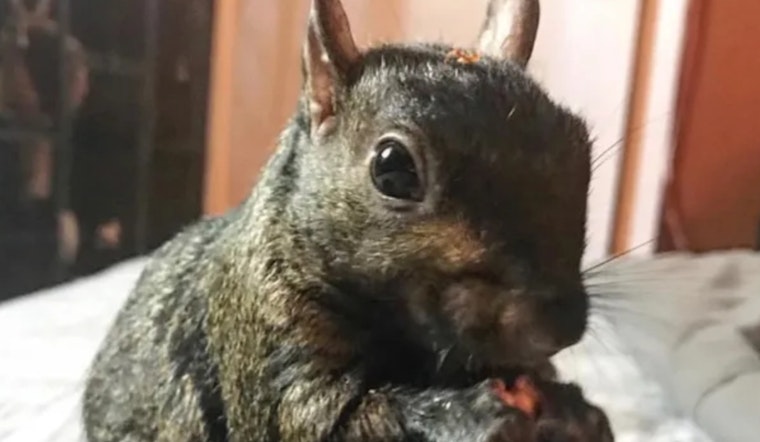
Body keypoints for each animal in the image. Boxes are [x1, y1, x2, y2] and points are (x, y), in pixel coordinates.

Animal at [82, 0, 614, 441]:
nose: (559, 327)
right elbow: (323, 419)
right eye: (393, 169)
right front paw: (467, 412)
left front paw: (577, 412)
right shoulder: (262, 331)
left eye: (581, 145)